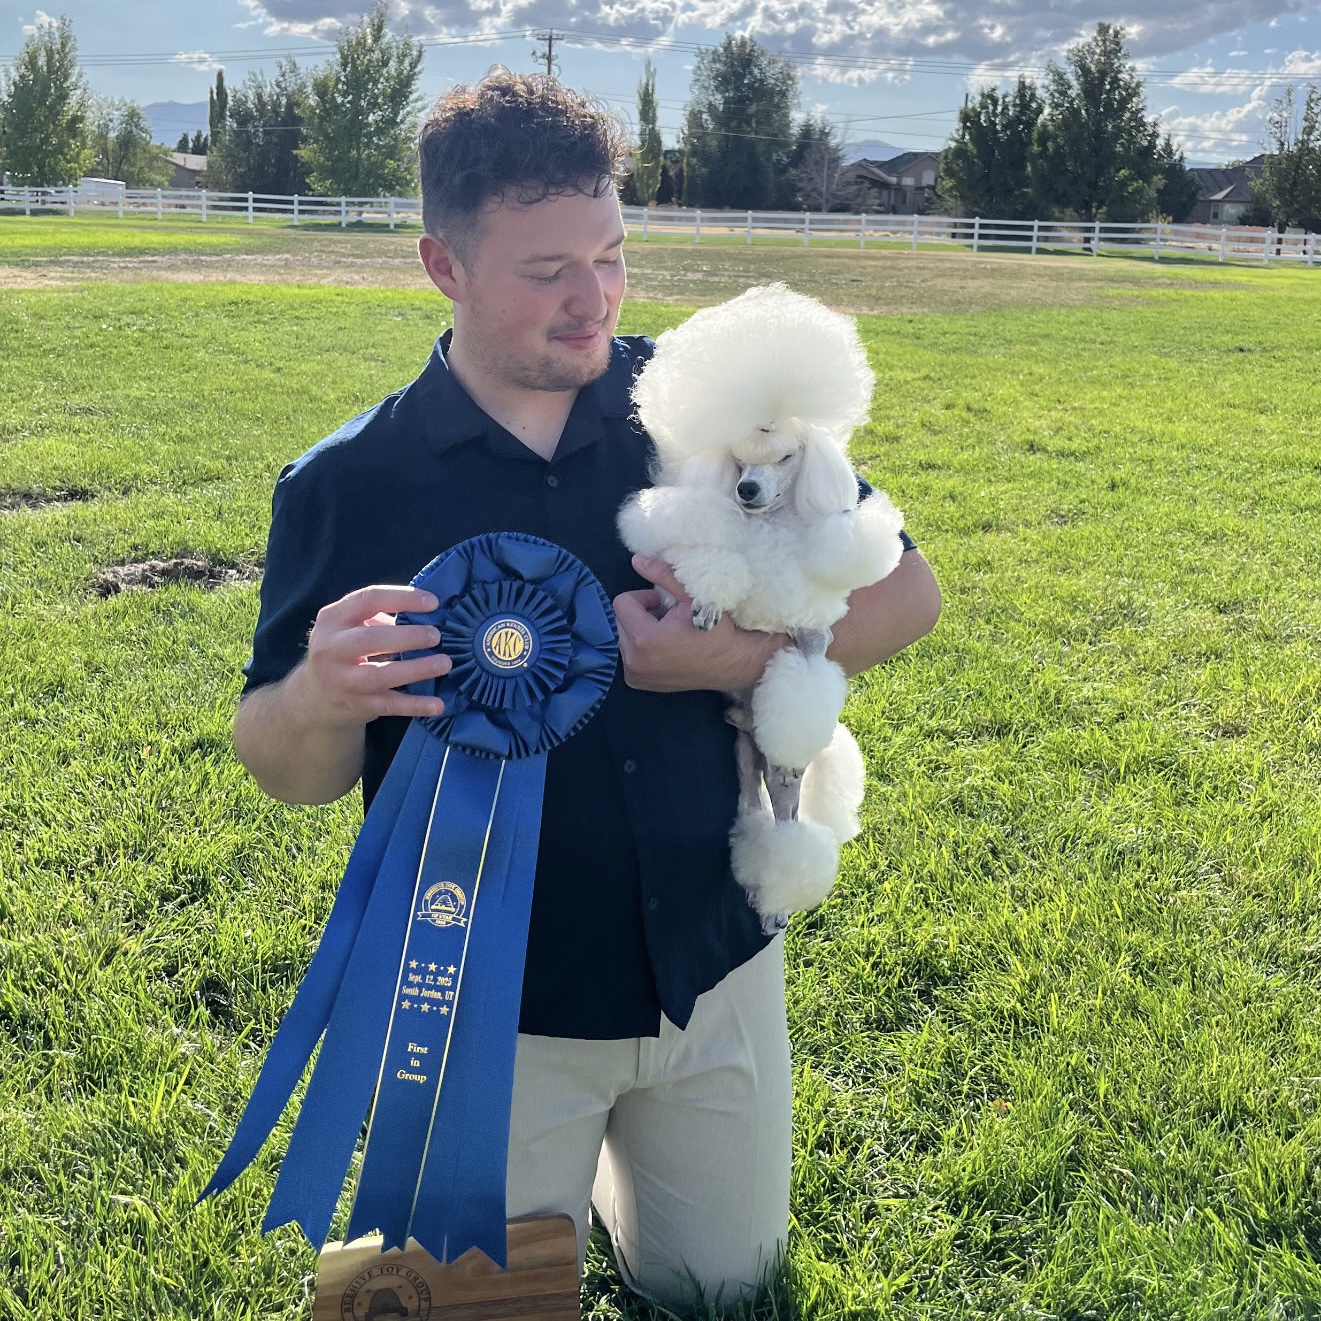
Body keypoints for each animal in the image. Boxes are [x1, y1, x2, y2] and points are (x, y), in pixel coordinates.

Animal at [618, 284, 906, 929]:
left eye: (785, 458)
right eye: (738, 459)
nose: (746, 490)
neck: (768, 525)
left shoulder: (809, 630)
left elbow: (810, 655)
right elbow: (709, 573)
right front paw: (703, 607)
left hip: (773, 765)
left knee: (786, 807)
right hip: (741, 756)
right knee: (752, 803)